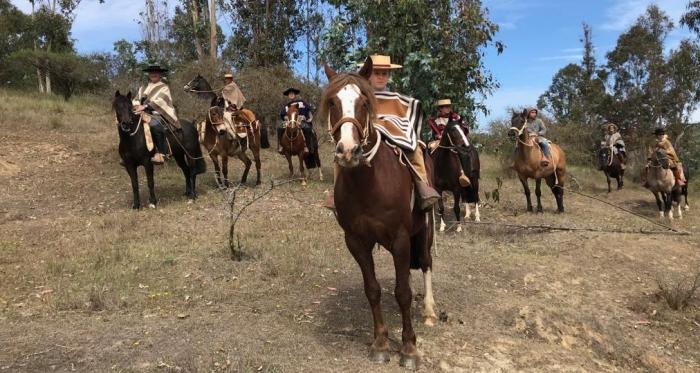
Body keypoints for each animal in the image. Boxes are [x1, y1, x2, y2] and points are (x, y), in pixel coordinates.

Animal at [322, 59, 438, 368]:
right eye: (332, 102)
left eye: (364, 102)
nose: (348, 152)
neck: (368, 184)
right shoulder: (356, 241)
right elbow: (373, 290)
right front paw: (381, 343)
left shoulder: (400, 238)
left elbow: (403, 293)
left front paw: (409, 348)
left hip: (425, 231)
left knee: (426, 263)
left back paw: (430, 311)